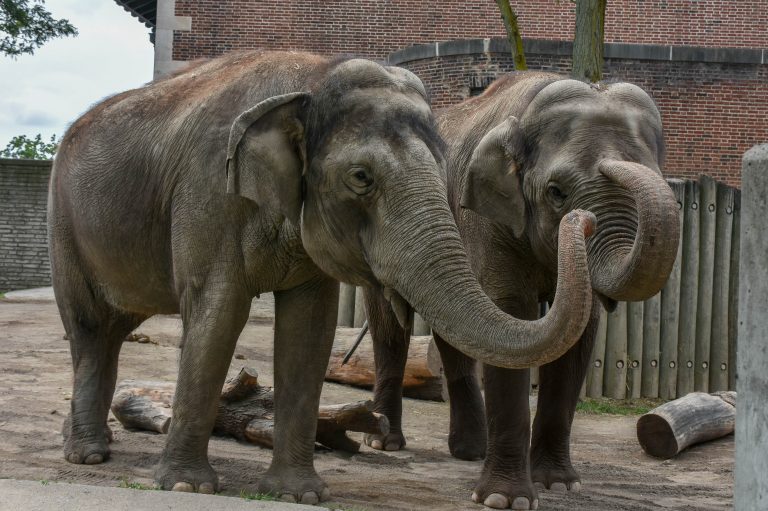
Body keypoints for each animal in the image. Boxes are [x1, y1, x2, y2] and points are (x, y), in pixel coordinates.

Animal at [47, 53, 599, 504]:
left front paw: (298, 494)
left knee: (115, 328)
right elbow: (219, 313)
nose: (584, 217)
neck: (310, 80)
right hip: (62, 223)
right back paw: (88, 454)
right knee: (90, 327)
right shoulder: (208, 194)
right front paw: (186, 486)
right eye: (361, 179)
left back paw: (97, 440)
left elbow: (310, 328)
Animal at [363, 72, 680, 509]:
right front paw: (504, 499)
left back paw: (470, 451)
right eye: (556, 191)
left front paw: (559, 485)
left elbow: (575, 337)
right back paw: (384, 442)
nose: (583, 220)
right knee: (389, 327)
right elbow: (512, 315)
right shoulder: (486, 218)